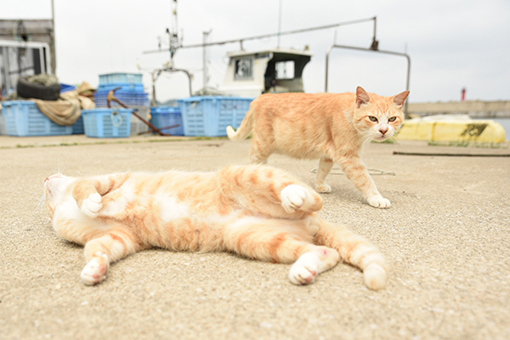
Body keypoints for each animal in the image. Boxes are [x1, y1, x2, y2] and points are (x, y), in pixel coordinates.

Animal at [227, 86, 410, 209]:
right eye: (373, 118)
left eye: (392, 119)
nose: (384, 130)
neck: (351, 115)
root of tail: (260, 97)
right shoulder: (349, 157)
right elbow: (365, 179)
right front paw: (376, 198)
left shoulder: (329, 154)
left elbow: (323, 170)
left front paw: (320, 185)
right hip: (262, 145)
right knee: (255, 161)